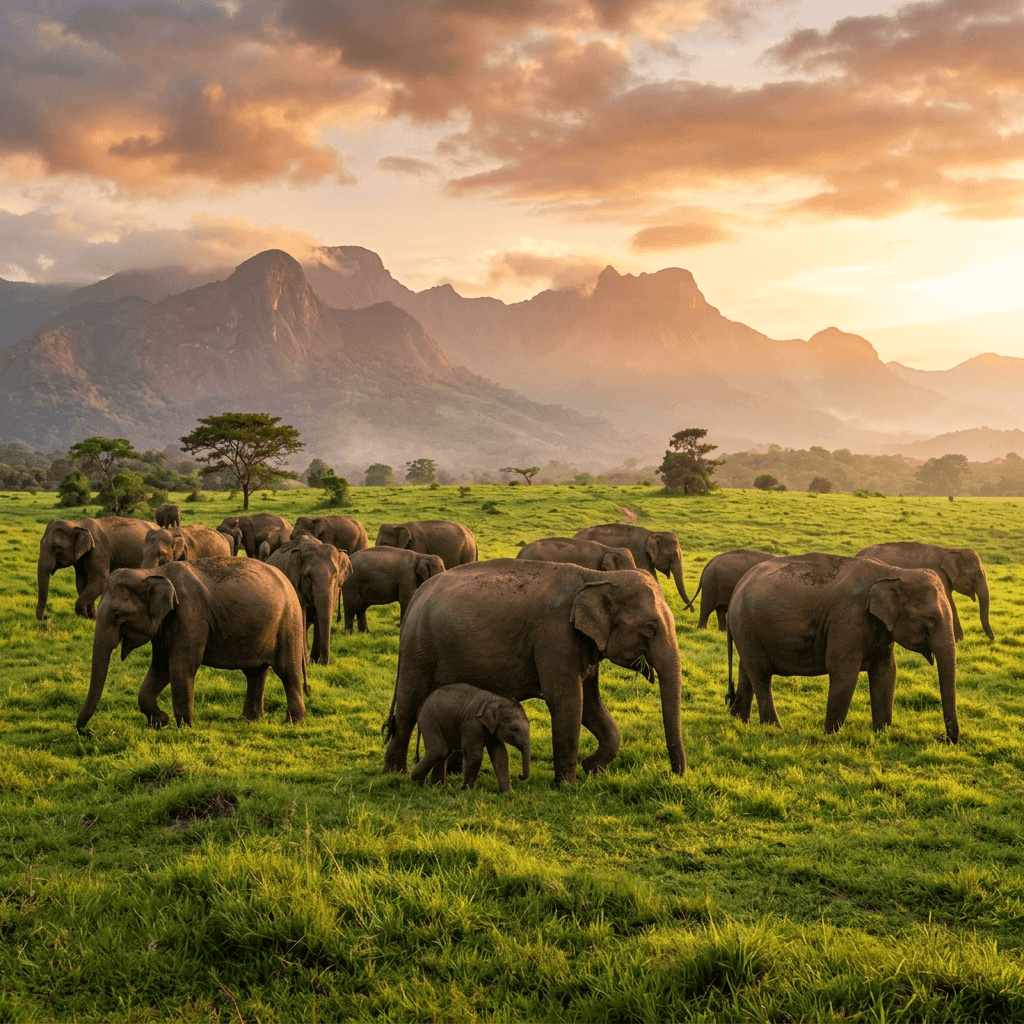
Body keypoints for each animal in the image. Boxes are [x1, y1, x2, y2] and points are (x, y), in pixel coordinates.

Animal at [76, 557, 307, 733]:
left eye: (117, 615)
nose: (87, 731)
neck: (152, 572)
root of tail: (287, 581)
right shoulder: (165, 624)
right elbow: (161, 667)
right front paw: (159, 723)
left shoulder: (190, 616)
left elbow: (181, 665)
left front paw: (184, 729)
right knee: (255, 673)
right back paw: (248, 720)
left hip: (288, 623)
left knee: (288, 671)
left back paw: (292, 723)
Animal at [267, 537, 352, 667]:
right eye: (308, 577)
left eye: (335, 576)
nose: (324, 663)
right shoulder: (295, 583)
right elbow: (301, 614)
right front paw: (306, 662)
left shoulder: (335, 589)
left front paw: (314, 661)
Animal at [383, 559, 686, 786]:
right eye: (650, 628)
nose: (671, 774)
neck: (597, 577)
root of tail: (418, 594)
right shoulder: (555, 635)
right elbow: (567, 701)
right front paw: (568, 785)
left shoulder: (583, 644)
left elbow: (590, 704)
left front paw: (591, 768)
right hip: (419, 649)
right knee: (409, 707)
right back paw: (394, 774)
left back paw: (454, 772)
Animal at [727, 553, 959, 742]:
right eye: (930, 620)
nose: (942, 738)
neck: (893, 572)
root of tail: (737, 587)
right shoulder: (848, 617)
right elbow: (843, 671)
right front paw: (829, 736)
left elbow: (886, 673)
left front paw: (882, 734)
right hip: (746, 624)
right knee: (761, 673)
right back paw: (774, 729)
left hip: (746, 630)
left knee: (746, 670)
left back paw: (739, 722)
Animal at [856, 542, 992, 642]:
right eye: (977, 576)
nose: (992, 639)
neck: (951, 550)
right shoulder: (939, 576)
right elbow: (949, 603)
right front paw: (959, 639)